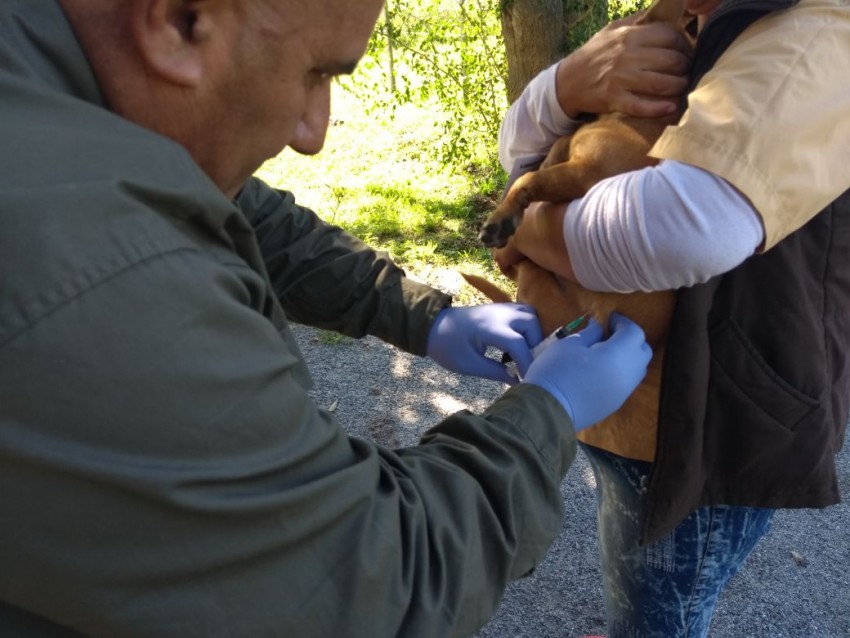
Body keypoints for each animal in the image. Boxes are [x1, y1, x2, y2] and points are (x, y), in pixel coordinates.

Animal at [470, 0, 688, 462]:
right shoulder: (569, 156)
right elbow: (542, 162)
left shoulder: (587, 172)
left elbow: (527, 179)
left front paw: (502, 219)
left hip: (541, 284)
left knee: (523, 275)